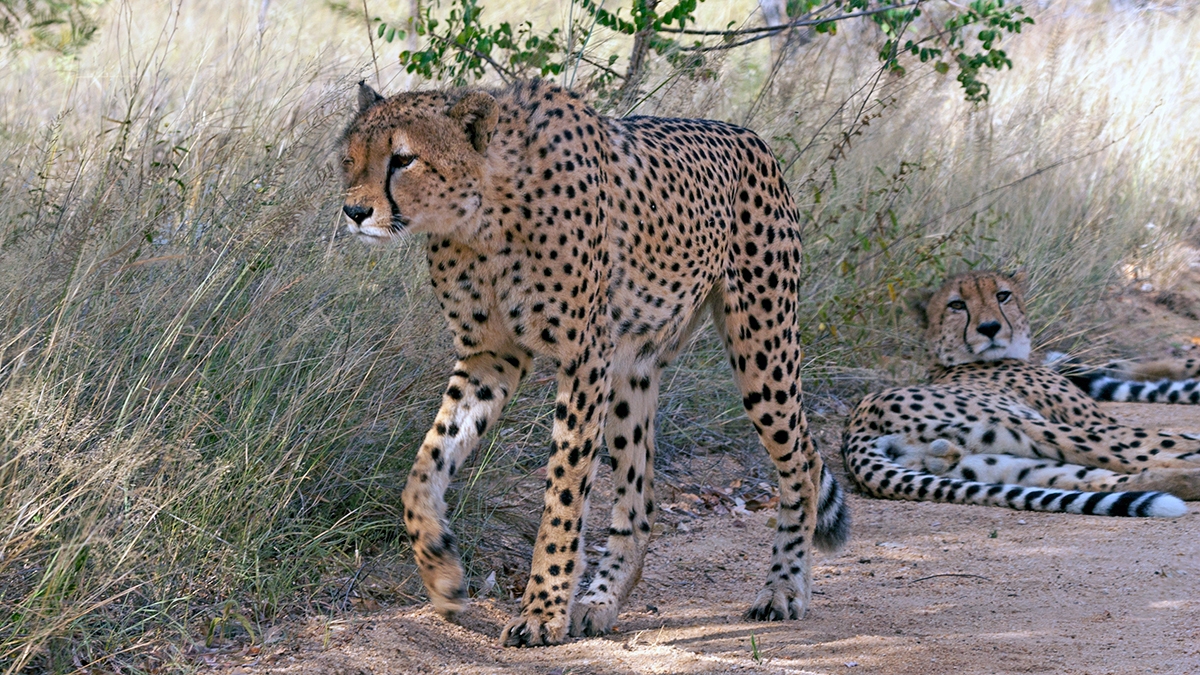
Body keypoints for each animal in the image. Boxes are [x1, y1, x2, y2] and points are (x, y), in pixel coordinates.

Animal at [339, 79, 849, 647]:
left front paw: (541, 610)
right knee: (641, 498)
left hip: (762, 347)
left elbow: (563, 491)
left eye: (403, 159)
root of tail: (748, 135)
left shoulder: (583, 357)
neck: (484, 213)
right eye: (350, 158)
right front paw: (442, 575)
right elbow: (424, 468)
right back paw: (600, 600)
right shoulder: (490, 356)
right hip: (634, 366)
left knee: (803, 462)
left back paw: (784, 588)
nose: (354, 212)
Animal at [841, 270, 1200, 518]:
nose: (989, 328)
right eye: (957, 305)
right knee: (1142, 455)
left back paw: (1187, 481)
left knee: (1104, 478)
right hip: (1049, 430)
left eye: (1003, 296)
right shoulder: (1097, 421)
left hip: (1001, 463)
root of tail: (857, 424)